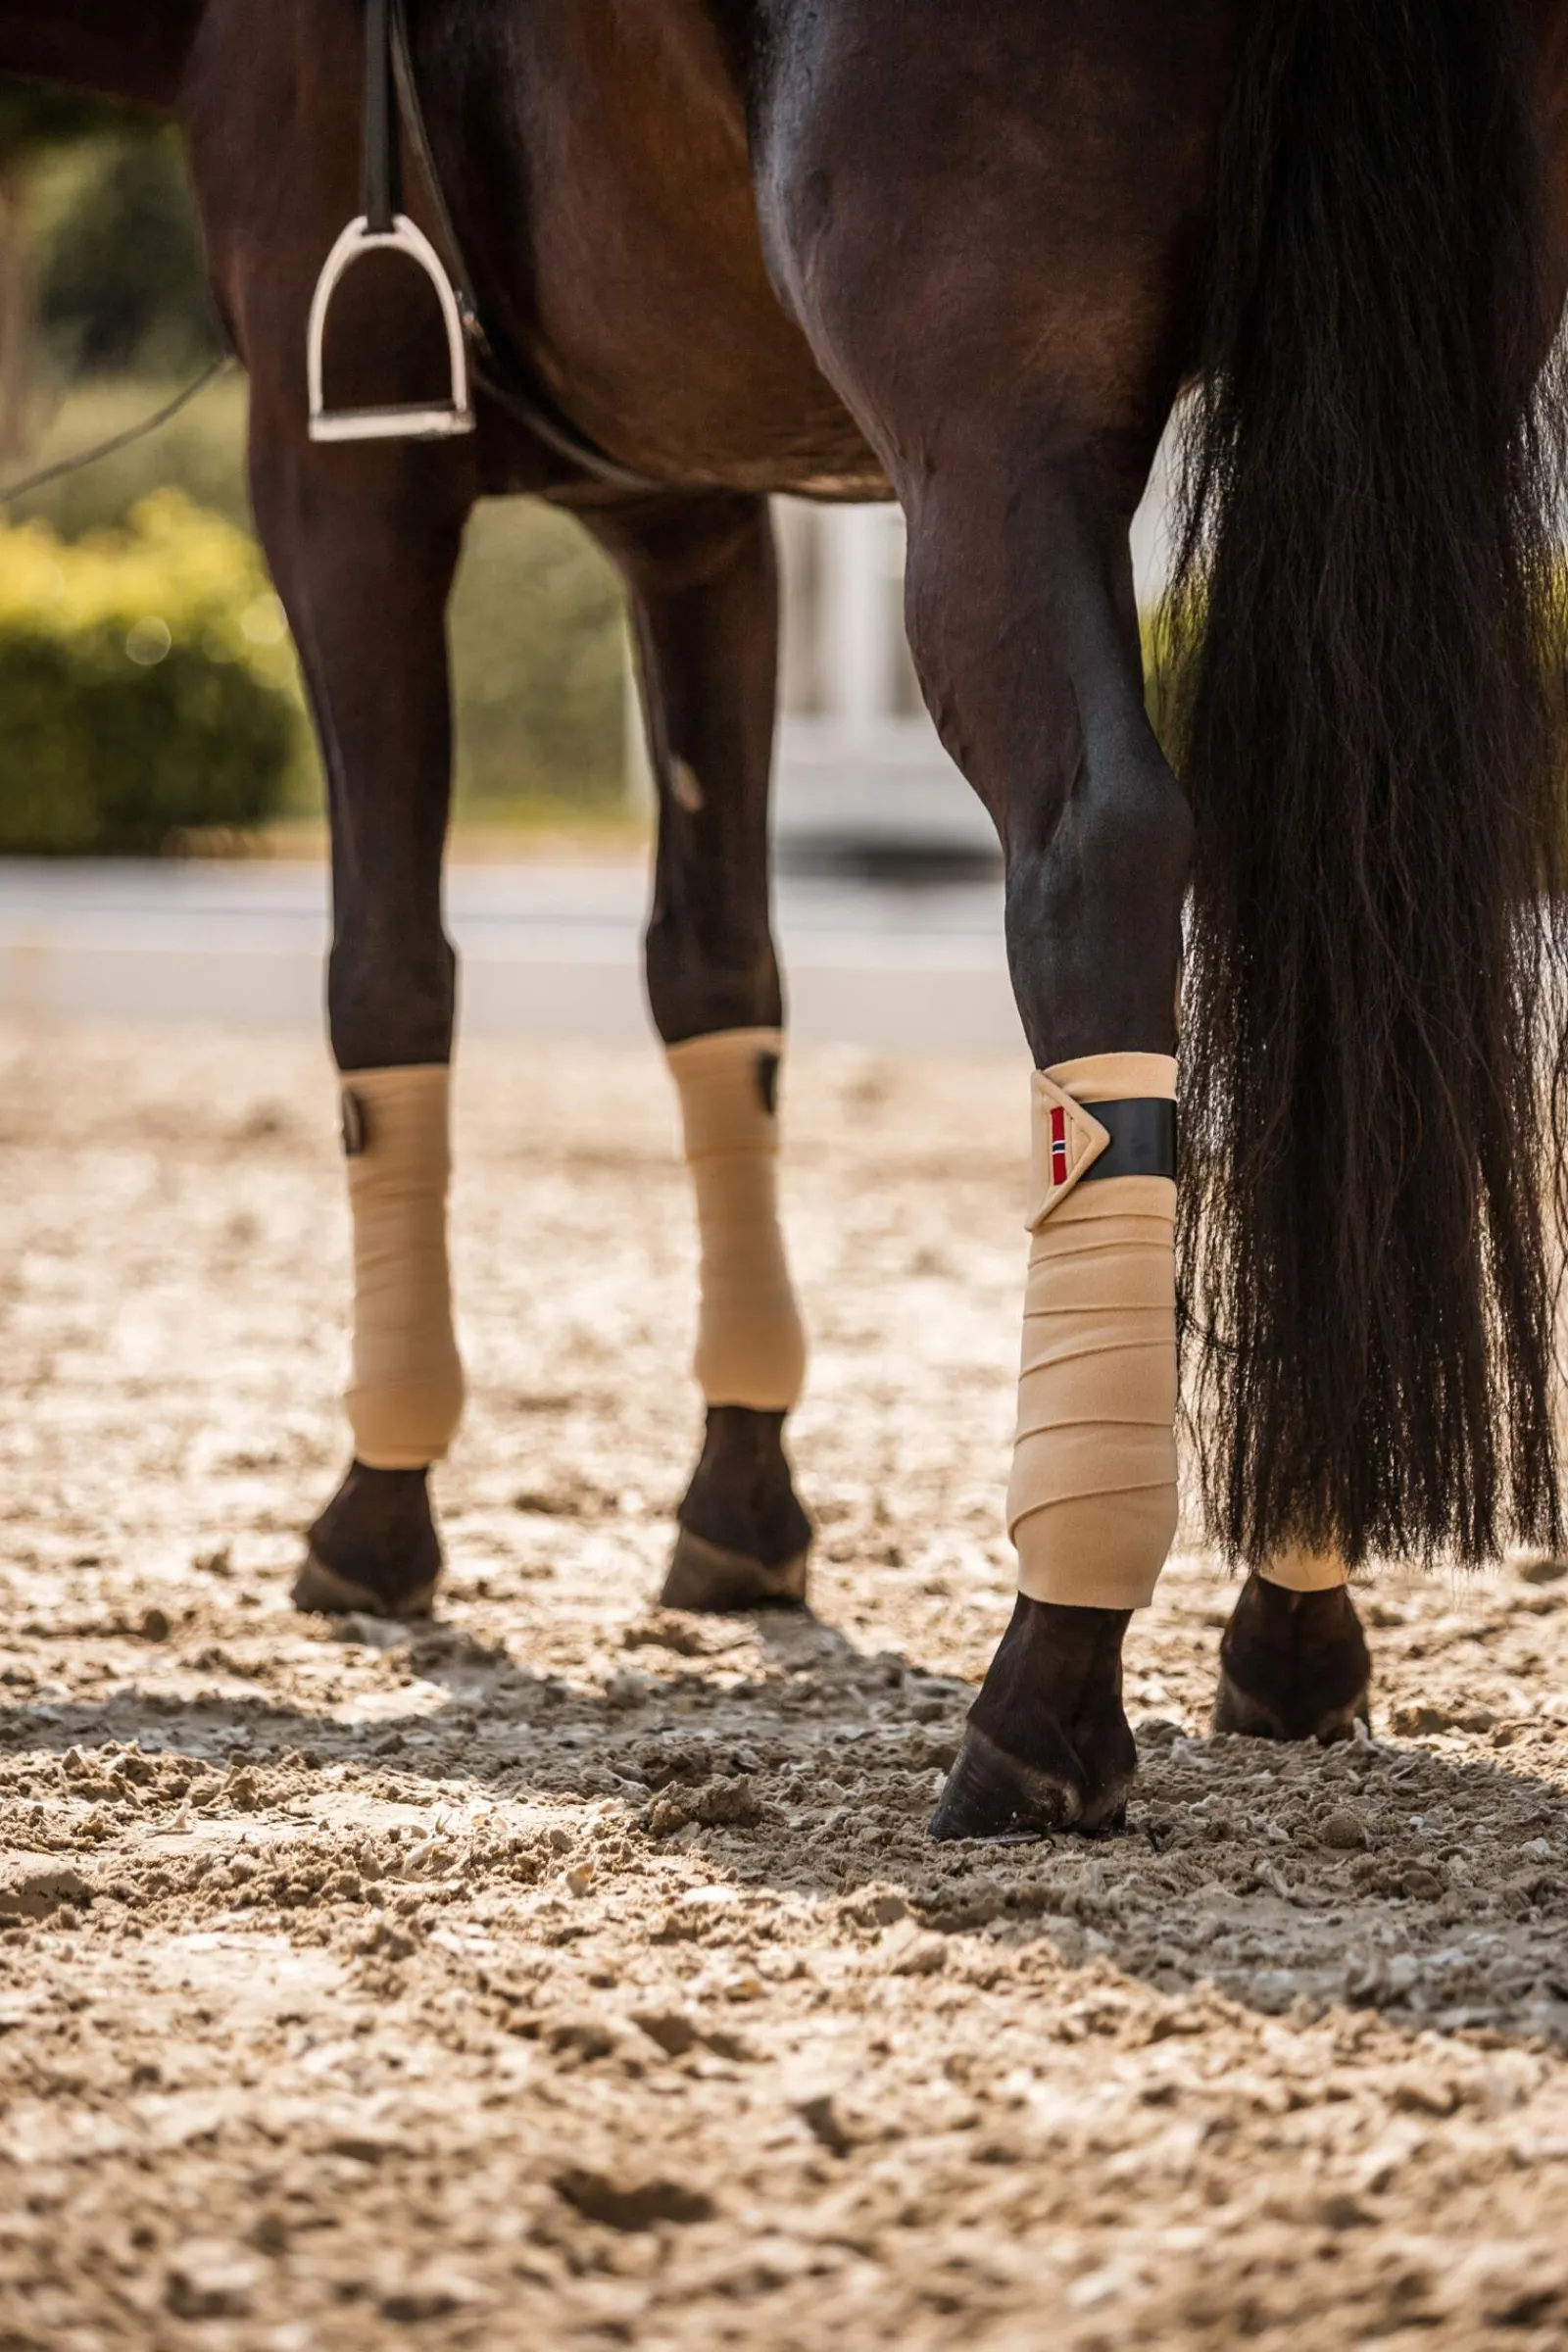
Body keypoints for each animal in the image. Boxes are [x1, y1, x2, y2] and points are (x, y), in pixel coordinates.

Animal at [4, 0, 1568, 1843]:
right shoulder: (688, 506)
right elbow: (715, 973)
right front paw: (740, 1506)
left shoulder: (343, 474)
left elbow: (385, 979)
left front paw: (381, 1504)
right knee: (1339, 879)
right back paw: (1297, 1616)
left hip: (995, 443)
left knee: (1100, 853)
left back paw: (1048, 1686)